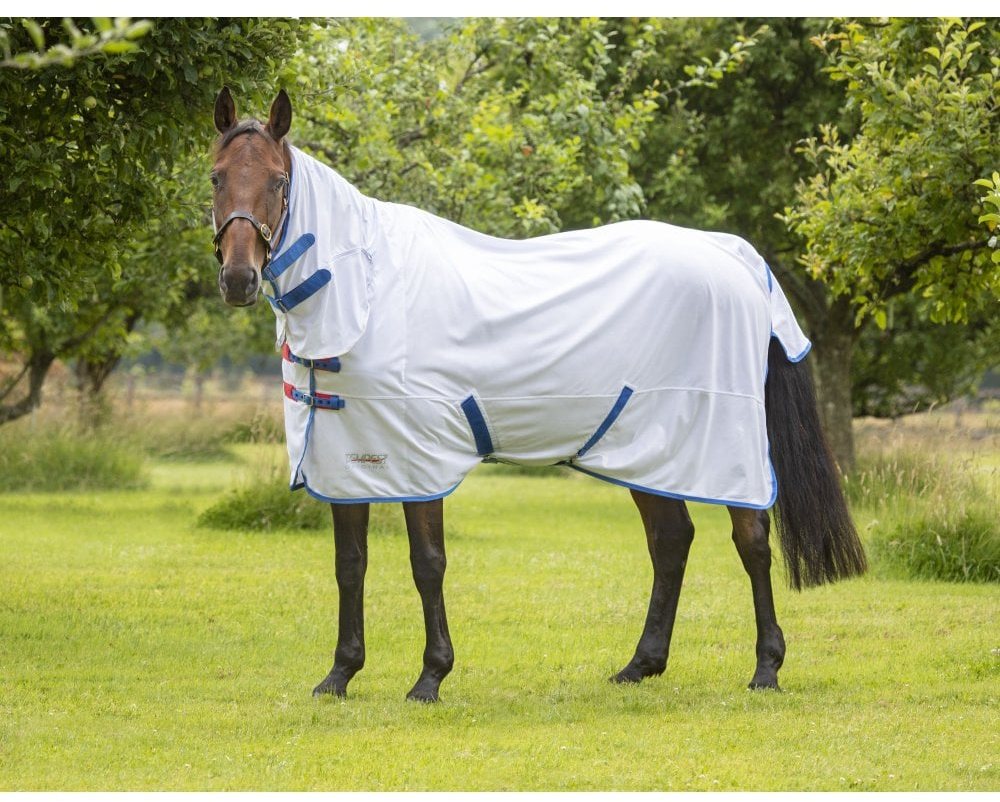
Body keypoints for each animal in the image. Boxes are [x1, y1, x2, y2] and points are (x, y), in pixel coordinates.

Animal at [210, 87, 867, 702]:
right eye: (216, 176)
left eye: (277, 181)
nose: (239, 279)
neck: (367, 290)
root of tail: (732, 255)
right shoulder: (347, 459)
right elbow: (350, 565)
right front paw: (340, 675)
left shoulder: (417, 457)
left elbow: (427, 564)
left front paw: (430, 677)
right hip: (649, 448)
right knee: (671, 540)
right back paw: (640, 666)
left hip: (721, 448)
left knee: (751, 540)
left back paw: (766, 670)